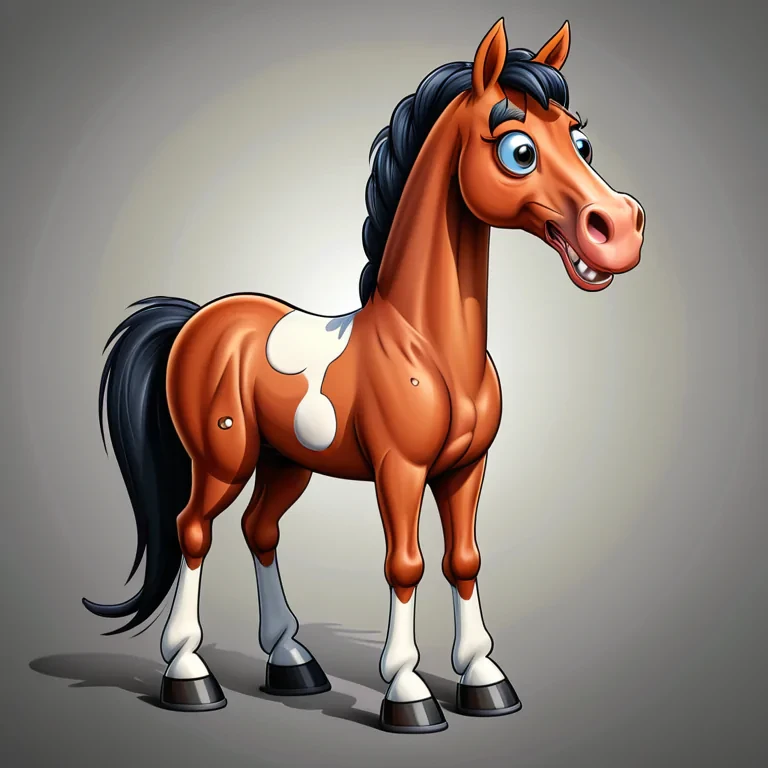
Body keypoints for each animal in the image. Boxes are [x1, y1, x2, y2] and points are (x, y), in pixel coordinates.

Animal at [83, 18, 644, 734]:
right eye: (518, 151)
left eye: (580, 139)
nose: (620, 229)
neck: (424, 346)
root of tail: (197, 319)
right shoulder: (399, 470)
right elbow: (405, 565)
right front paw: (408, 693)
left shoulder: (467, 469)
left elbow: (464, 559)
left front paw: (484, 679)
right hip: (222, 459)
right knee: (194, 531)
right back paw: (189, 674)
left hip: (287, 462)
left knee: (259, 530)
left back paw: (292, 662)